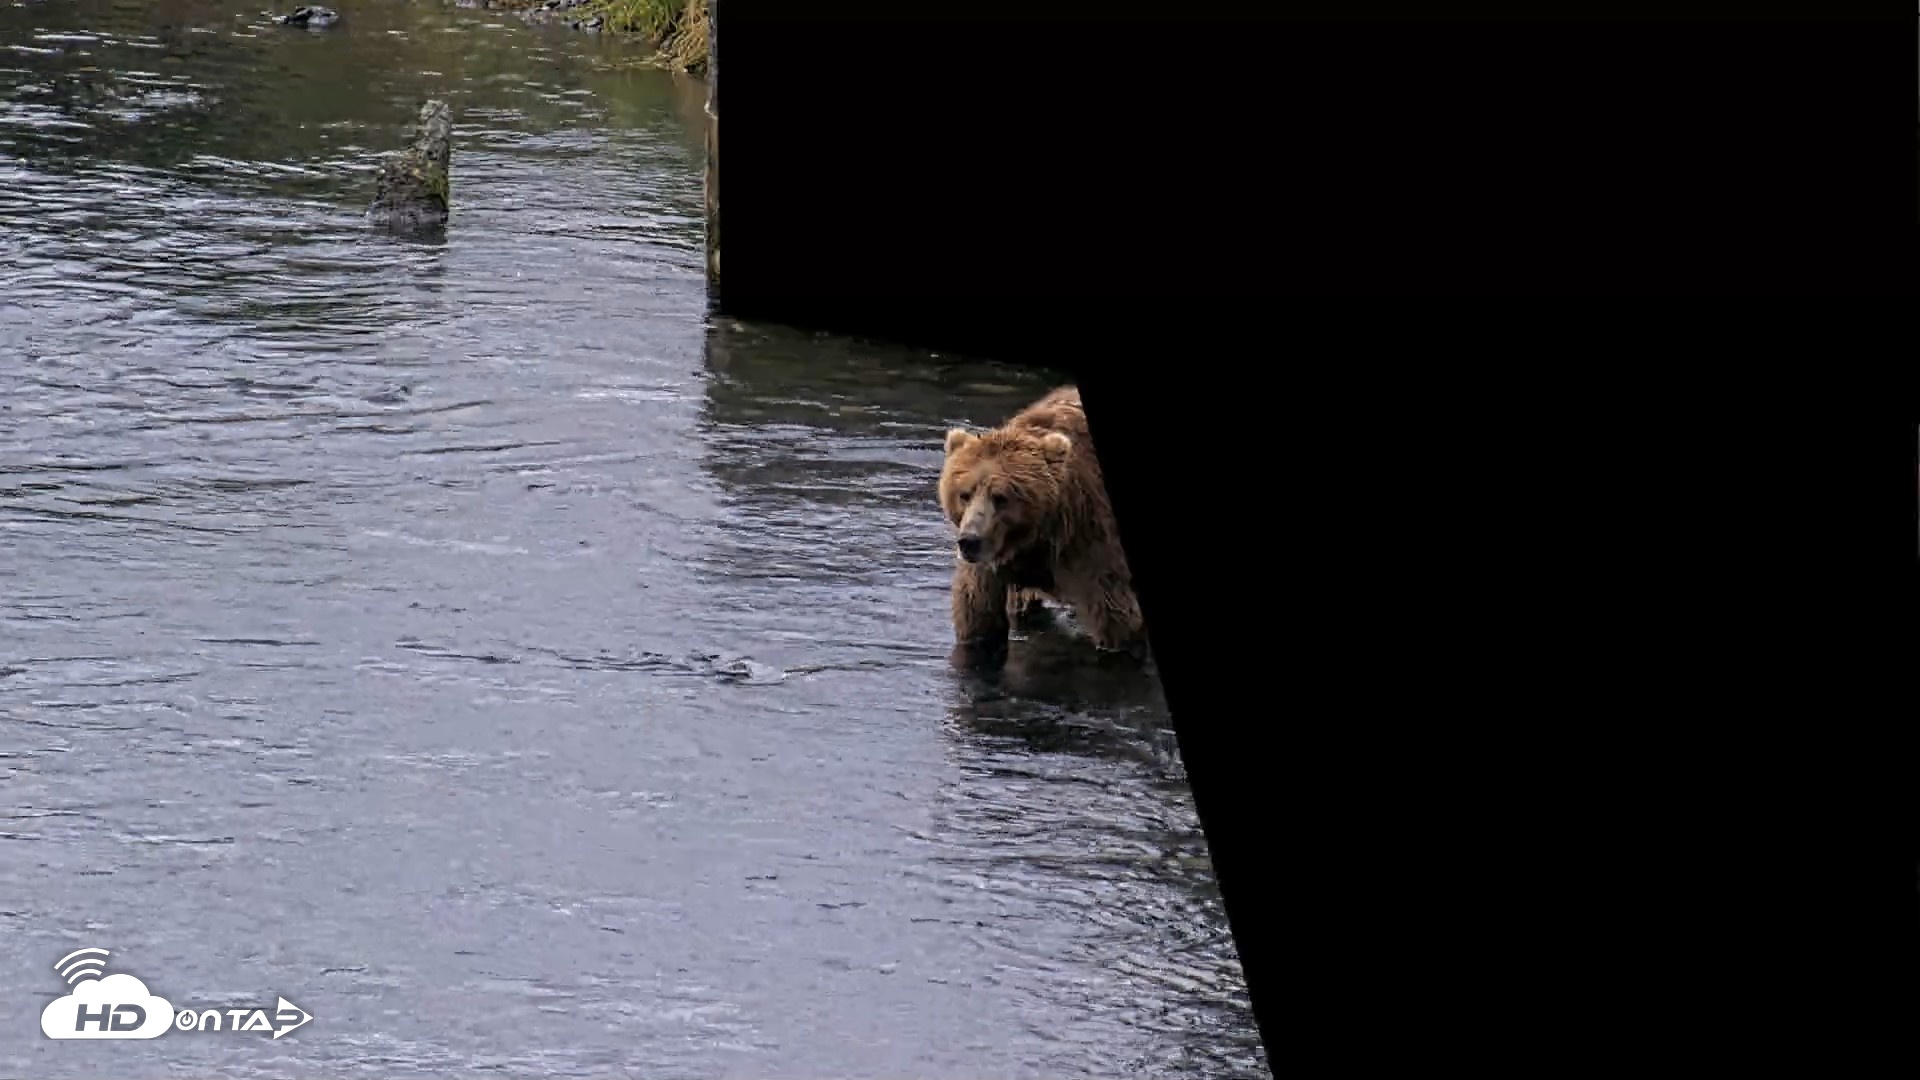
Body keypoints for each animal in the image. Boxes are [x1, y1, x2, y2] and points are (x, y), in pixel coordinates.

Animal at [938, 385, 1148, 662]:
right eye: (964, 494)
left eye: (1001, 497)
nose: (969, 542)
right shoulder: (988, 565)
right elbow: (977, 615)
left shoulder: (1091, 542)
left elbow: (1117, 619)